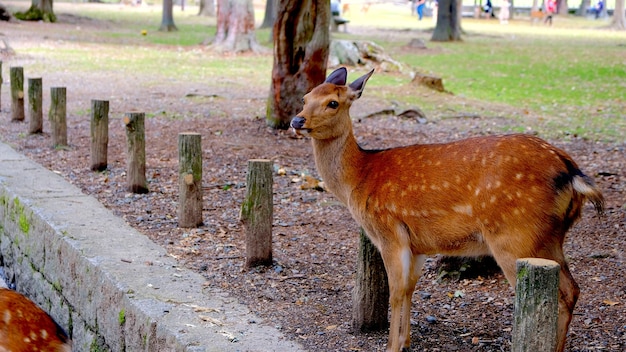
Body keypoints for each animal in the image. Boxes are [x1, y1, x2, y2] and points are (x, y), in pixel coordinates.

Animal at [290, 67, 604, 350]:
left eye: (333, 103)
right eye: (305, 97)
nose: (296, 120)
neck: (359, 178)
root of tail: (572, 173)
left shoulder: (390, 232)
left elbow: (396, 292)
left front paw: (392, 346)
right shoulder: (417, 245)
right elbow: (410, 288)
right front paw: (405, 342)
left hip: (515, 235)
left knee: (554, 294)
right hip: (550, 237)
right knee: (572, 290)